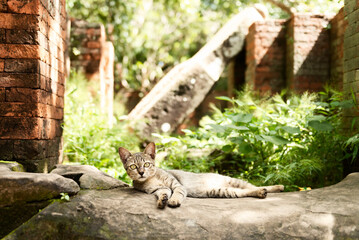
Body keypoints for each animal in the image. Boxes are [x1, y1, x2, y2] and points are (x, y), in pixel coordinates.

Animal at [119, 142, 286, 208]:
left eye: (147, 164)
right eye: (133, 166)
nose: (141, 172)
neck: (152, 179)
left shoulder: (177, 185)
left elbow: (177, 193)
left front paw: (174, 200)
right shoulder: (159, 190)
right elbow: (163, 193)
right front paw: (163, 201)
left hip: (235, 181)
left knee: (255, 185)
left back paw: (277, 187)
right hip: (224, 191)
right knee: (246, 191)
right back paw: (261, 193)